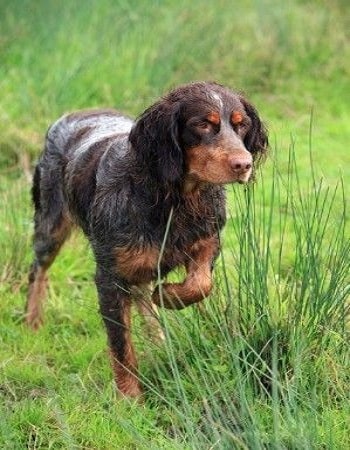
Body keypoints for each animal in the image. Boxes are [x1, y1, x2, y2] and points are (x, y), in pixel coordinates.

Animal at [26, 81, 268, 398]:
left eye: (242, 125)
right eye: (202, 124)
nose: (244, 165)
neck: (174, 199)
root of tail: (73, 114)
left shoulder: (208, 239)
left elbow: (201, 283)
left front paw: (167, 296)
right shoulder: (110, 276)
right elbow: (121, 347)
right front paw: (129, 399)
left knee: (143, 295)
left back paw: (160, 340)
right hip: (51, 224)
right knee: (37, 270)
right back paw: (32, 321)